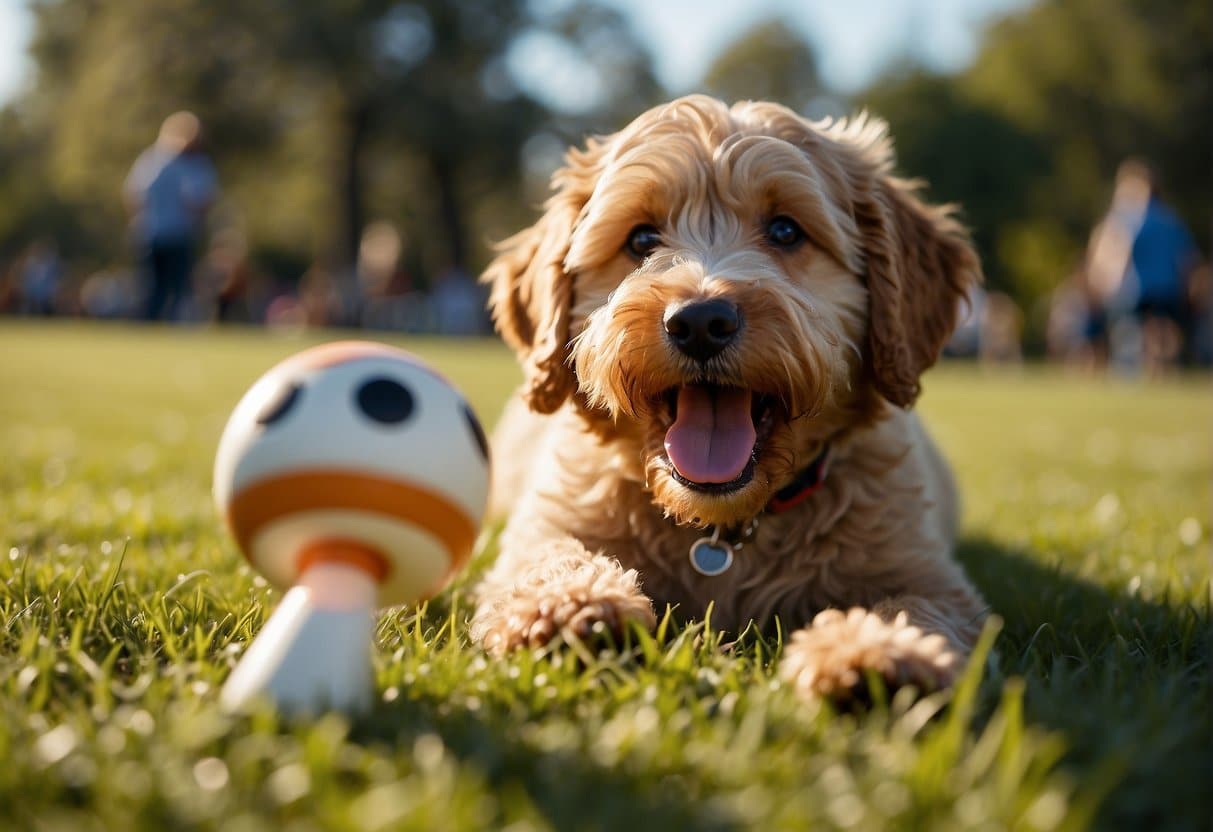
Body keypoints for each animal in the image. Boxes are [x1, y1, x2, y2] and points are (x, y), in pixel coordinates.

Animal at [468, 96, 989, 703]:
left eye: (786, 230)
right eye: (641, 240)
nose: (699, 321)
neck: (723, 529)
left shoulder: (926, 570)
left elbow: (916, 605)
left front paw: (878, 648)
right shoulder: (548, 520)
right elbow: (546, 557)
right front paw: (569, 605)